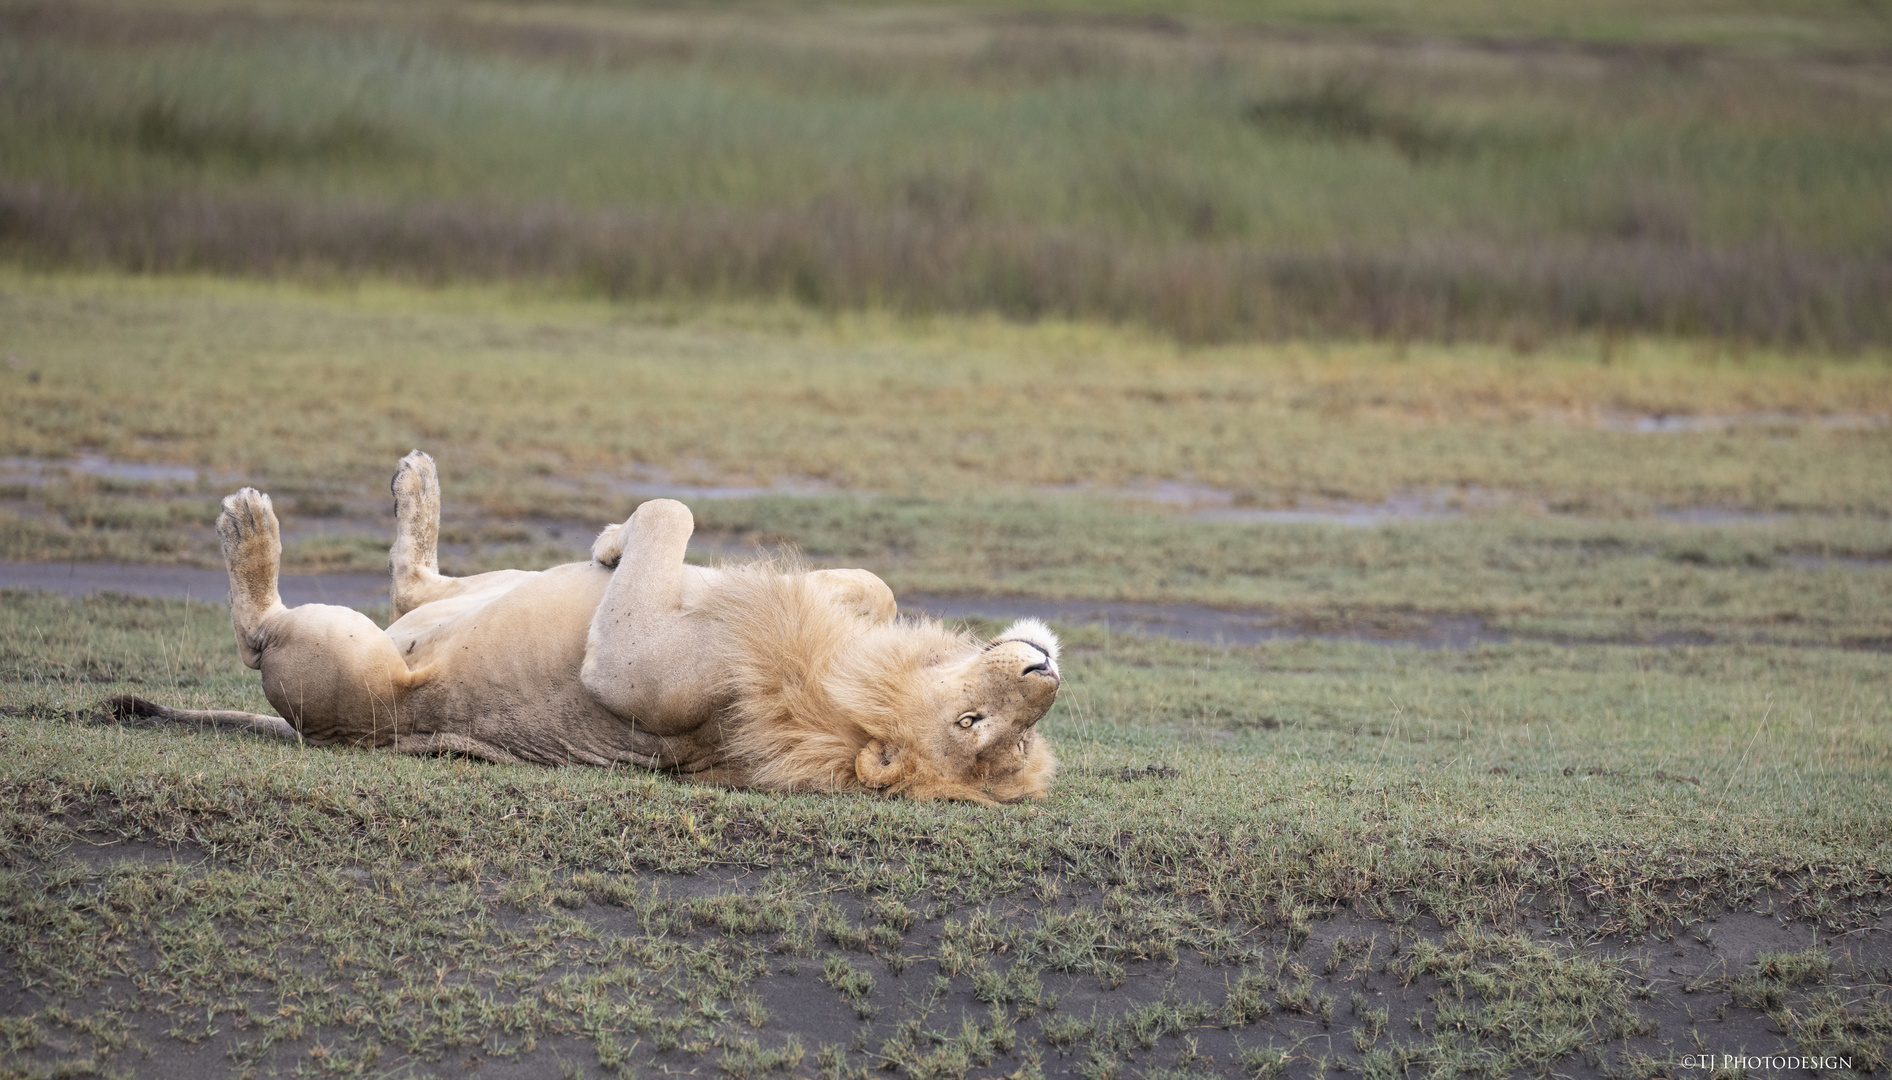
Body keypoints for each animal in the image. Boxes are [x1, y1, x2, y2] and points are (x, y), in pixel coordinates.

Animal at [114, 450, 1067, 801]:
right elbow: (870, 581)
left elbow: (671, 508)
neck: (845, 675)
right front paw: (613, 541)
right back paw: (416, 483)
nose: (1043, 673)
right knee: (416, 589)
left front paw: (617, 536)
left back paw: (250, 527)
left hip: (352, 666)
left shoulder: (643, 671)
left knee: (268, 633)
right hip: (484, 592)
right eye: (984, 726)